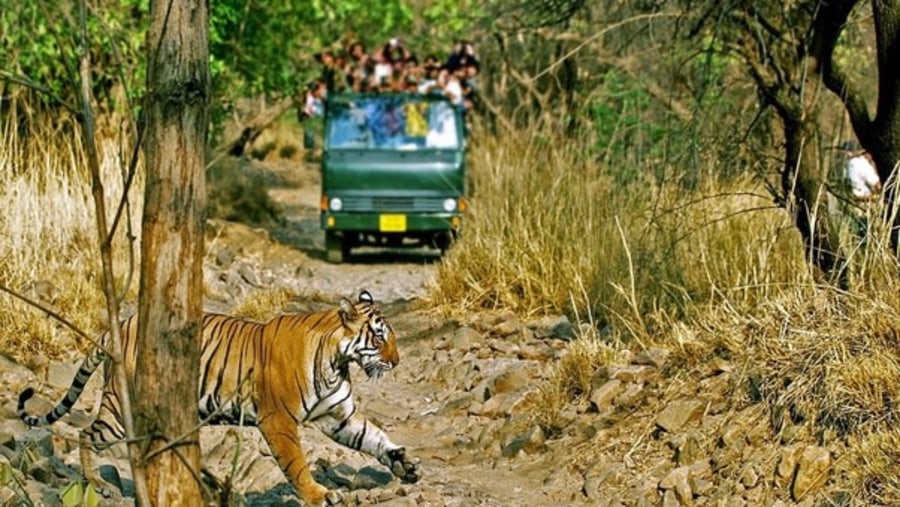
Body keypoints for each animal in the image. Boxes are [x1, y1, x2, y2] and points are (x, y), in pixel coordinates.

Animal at [16, 290, 418, 507]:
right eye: (379, 337)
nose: (397, 361)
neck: (337, 359)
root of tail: (122, 324)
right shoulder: (279, 421)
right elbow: (297, 463)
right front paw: (318, 494)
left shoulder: (339, 417)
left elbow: (374, 437)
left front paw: (404, 465)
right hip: (117, 407)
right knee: (86, 433)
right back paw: (96, 484)